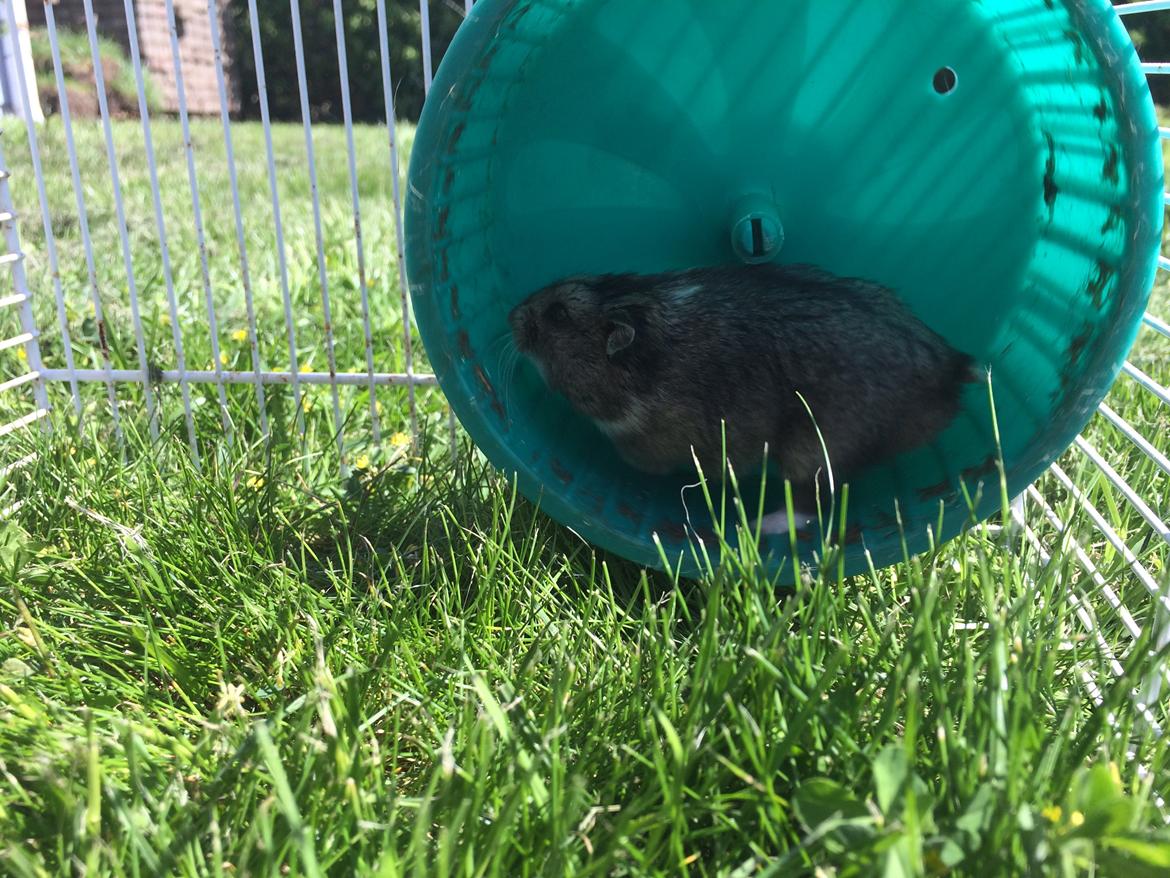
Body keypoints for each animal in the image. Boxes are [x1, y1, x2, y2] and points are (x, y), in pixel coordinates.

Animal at [508, 263, 977, 531]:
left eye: (558, 314)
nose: (510, 316)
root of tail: (952, 371)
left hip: (814, 449)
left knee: (814, 502)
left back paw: (756, 525)